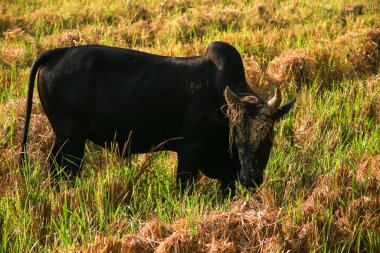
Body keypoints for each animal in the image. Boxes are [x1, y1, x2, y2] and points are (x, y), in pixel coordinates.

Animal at [19, 42, 296, 196]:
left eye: (268, 135)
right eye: (235, 133)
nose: (251, 178)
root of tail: (59, 52)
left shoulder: (228, 173)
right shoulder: (189, 152)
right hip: (71, 138)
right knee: (63, 171)